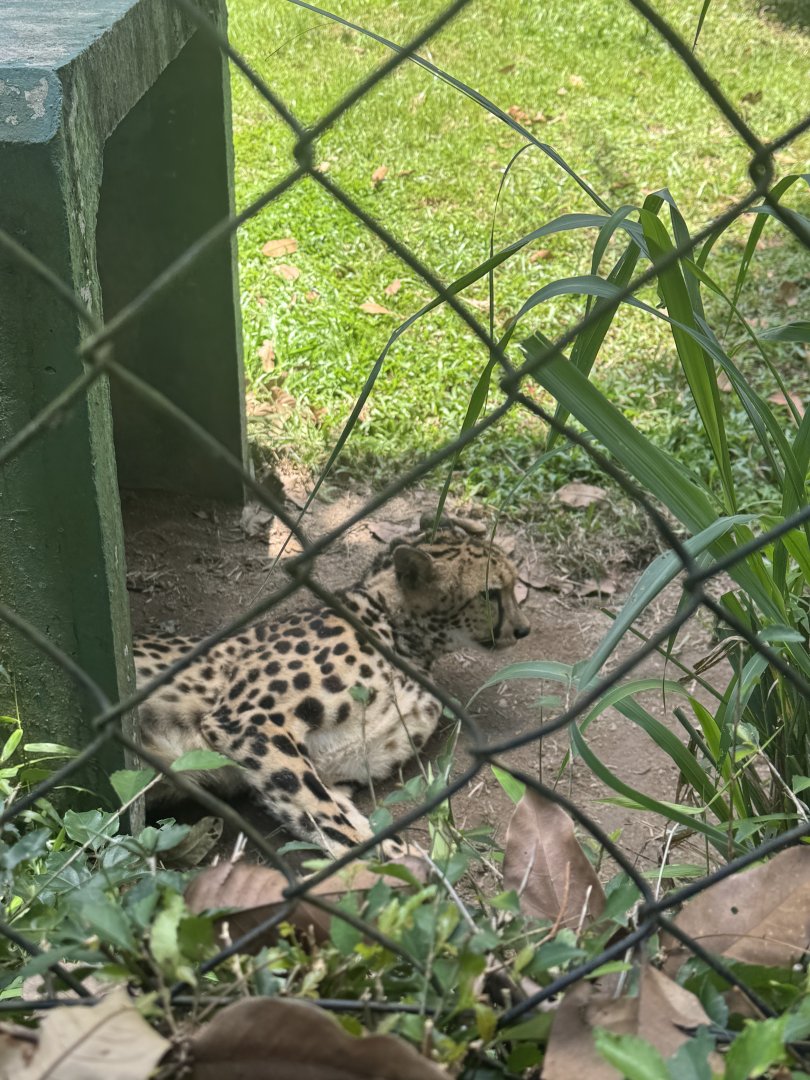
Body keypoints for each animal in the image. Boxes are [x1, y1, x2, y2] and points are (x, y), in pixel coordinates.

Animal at [133, 515, 530, 858]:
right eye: (491, 593)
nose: (523, 629)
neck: (398, 633)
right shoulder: (247, 720)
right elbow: (327, 817)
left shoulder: (330, 772)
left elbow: (342, 817)